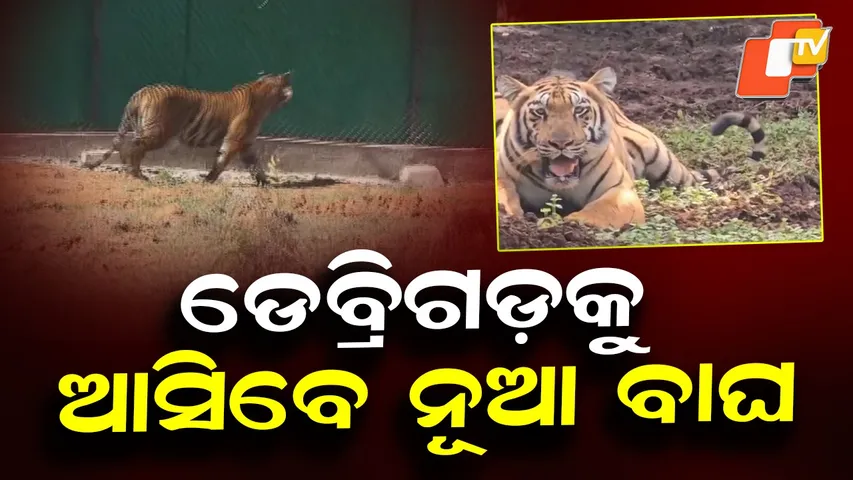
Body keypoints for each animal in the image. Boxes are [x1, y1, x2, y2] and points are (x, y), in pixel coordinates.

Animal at [83, 72, 294, 186]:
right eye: (288, 84)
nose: (292, 91)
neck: (266, 102)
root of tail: (141, 92)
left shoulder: (247, 143)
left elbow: (254, 165)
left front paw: (265, 183)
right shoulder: (235, 140)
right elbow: (222, 161)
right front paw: (208, 180)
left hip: (142, 129)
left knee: (131, 148)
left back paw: (136, 172)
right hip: (157, 132)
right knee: (131, 148)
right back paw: (136, 174)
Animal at [494, 67, 766, 229]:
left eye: (579, 110)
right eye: (540, 112)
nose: (561, 143)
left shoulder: (620, 191)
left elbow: (596, 213)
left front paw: (562, 226)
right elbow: (503, 192)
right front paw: (509, 215)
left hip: (666, 164)